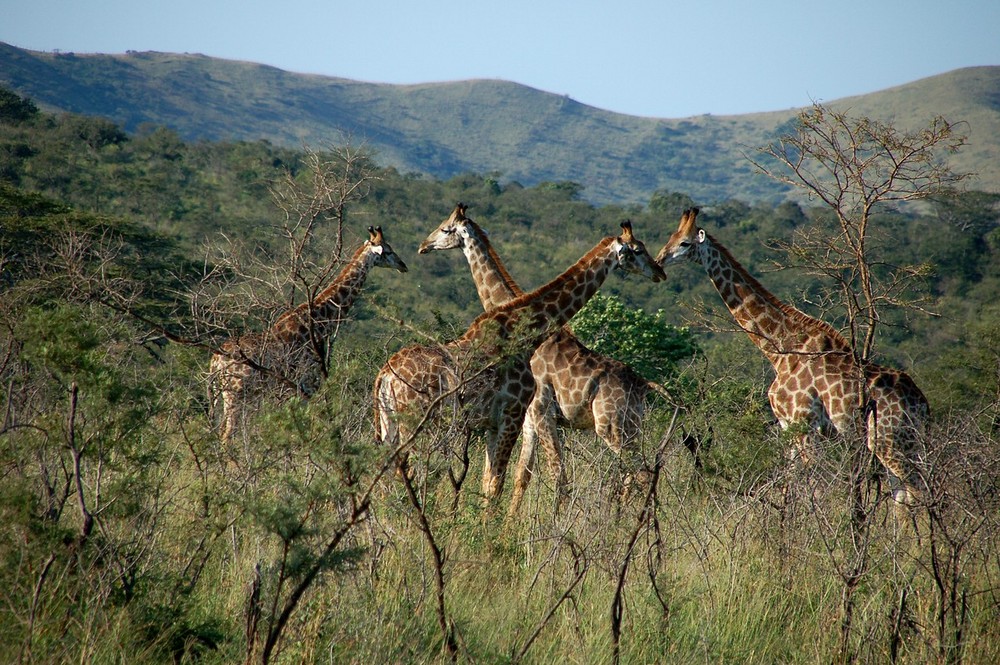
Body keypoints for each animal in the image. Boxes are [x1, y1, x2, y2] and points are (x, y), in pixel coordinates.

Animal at [209, 224, 408, 440]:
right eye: (388, 251)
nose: (403, 265)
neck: (319, 320)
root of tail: (215, 360)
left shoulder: (294, 388)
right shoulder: (308, 381)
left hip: (220, 394)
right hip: (236, 393)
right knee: (227, 435)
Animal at [376, 220, 664, 506]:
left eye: (445, 228)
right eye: (638, 250)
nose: (659, 271)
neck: (523, 329)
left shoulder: (519, 418)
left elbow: (506, 480)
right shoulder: (523, 415)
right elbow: (516, 480)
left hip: (618, 427)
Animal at [656, 209, 928, 504]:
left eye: (684, 243)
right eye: (671, 236)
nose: (659, 260)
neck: (780, 350)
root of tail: (921, 404)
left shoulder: (805, 424)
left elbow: (811, 489)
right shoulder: (789, 426)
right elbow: (790, 486)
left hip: (889, 441)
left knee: (920, 490)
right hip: (903, 443)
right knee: (903, 496)